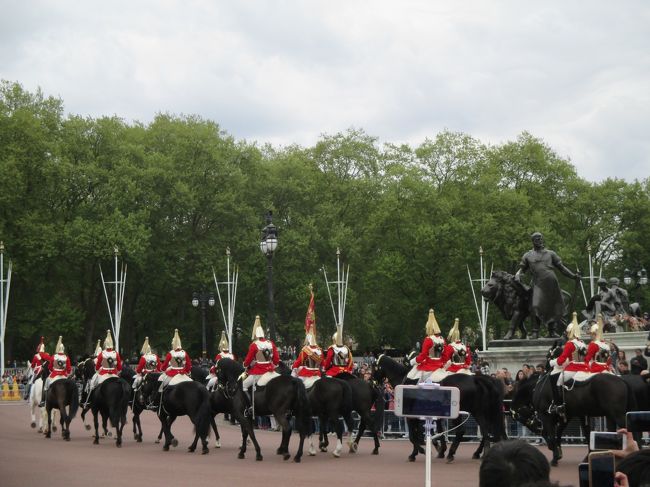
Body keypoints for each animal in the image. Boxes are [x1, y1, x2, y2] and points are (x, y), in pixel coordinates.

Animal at [372, 356, 504, 464]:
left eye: (374, 368)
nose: (373, 383)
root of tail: (476, 379)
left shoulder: (411, 416)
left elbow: (413, 436)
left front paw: (419, 452)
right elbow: (435, 431)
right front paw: (438, 449)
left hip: (465, 413)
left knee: (463, 430)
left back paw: (452, 454)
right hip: (478, 411)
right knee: (485, 430)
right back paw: (480, 453)